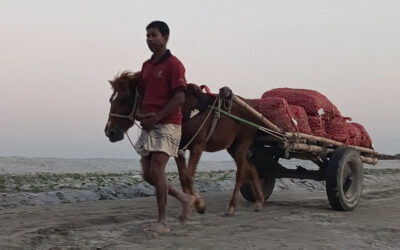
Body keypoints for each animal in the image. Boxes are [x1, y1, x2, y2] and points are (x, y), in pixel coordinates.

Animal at [104, 71, 264, 216]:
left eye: (123, 99)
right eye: (111, 100)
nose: (109, 132)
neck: (184, 109)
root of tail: (253, 109)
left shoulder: (197, 146)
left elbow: (187, 176)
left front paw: (200, 204)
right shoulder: (179, 149)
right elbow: (182, 178)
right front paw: (192, 202)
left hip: (242, 145)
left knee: (241, 173)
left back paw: (231, 206)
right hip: (232, 147)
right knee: (252, 169)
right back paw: (259, 201)